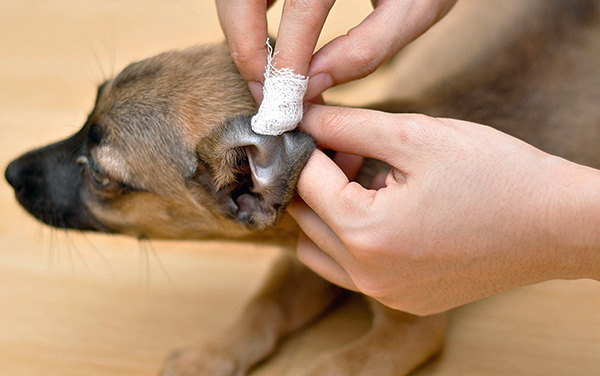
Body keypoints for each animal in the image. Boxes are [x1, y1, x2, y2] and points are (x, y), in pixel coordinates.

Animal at [5, 0, 600, 374]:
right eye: (89, 105)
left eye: (101, 176)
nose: (9, 173)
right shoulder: (301, 265)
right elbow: (262, 311)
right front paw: (208, 355)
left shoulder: (407, 332)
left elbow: (333, 366)